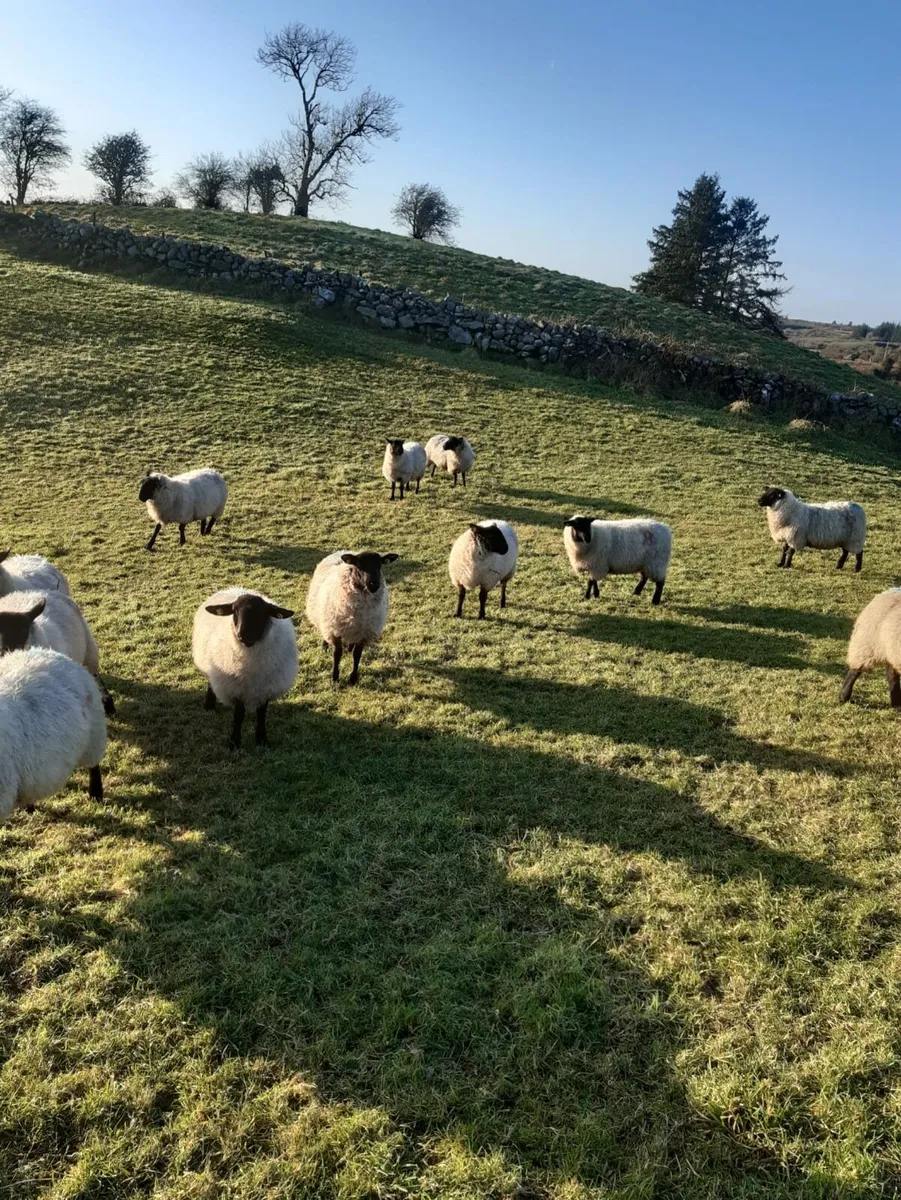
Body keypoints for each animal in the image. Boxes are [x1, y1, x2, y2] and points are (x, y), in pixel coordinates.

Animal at [192, 588, 298, 748]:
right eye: (234, 610)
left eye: (262, 612)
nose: (243, 634)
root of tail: (234, 588)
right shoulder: (236, 689)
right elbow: (239, 715)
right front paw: (234, 742)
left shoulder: (266, 688)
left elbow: (261, 714)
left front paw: (261, 740)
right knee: (211, 682)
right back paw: (209, 705)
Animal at [305, 551, 399, 683]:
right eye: (359, 565)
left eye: (380, 565)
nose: (374, 584)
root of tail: (341, 551)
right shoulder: (335, 630)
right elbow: (337, 654)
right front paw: (335, 677)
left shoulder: (363, 633)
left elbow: (357, 655)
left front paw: (353, 678)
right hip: (324, 618)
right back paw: (325, 646)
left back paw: (349, 647)